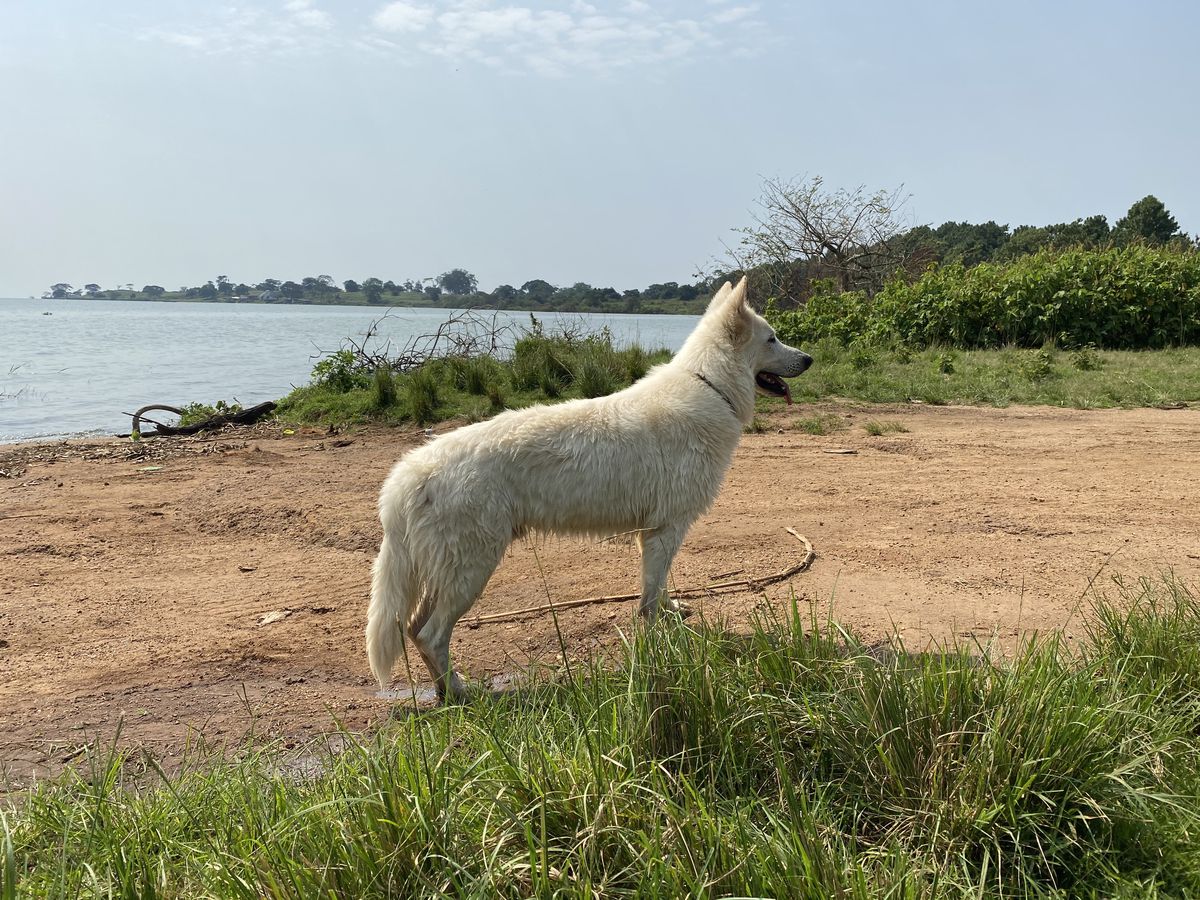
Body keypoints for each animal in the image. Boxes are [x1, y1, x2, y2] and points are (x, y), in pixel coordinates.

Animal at [364, 278, 816, 700]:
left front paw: (670, 615)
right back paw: (461, 694)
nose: (809, 359)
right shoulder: (666, 529)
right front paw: (663, 639)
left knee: (414, 629)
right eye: (772, 338)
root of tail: (407, 475)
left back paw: (446, 692)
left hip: (445, 575)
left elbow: (658, 588)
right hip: (471, 571)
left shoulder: (654, 534)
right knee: (430, 635)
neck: (710, 386)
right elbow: (651, 598)